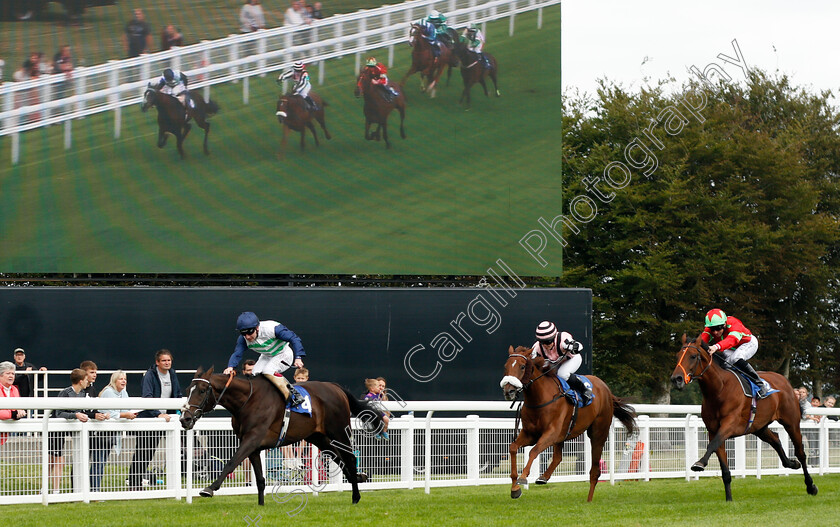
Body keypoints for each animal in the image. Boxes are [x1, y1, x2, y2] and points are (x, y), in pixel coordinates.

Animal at [182, 368, 386, 508]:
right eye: (187, 389)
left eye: (202, 390)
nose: (185, 418)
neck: (248, 401)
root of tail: (335, 387)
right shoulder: (253, 446)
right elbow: (260, 479)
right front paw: (261, 505)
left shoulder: (252, 439)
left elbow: (232, 462)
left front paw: (209, 488)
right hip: (317, 437)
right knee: (338, 457)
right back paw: (357, 478)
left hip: (340, 431)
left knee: (349, 458)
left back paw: (356, 496)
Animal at [498, 346, 636, 504]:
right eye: (506, 366)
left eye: (522, 366)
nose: (508, 391)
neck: (539, 399)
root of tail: (606, 390)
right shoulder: (530, 434)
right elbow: (513, 447)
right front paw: (515, 488)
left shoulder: (551, 433)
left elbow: (534, 451)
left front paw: (522, 478)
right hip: (563, 435)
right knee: (558, 457)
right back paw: (544, 477)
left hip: (598, 433)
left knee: (594, 470)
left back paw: (589, 500)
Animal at [668, 336, 812, 502]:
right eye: (677, 356)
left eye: (692, 356)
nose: (676, 379)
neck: (719, 389)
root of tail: (784, 381)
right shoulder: (713, 430)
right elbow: (724, 467)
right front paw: (729, 499)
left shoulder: (729, 425)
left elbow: (712, 445)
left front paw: (700, 463)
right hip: (759, 427)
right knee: (776, 440)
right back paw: (792, 463)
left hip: (791, 422)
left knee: (801, 452)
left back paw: (811, 486)